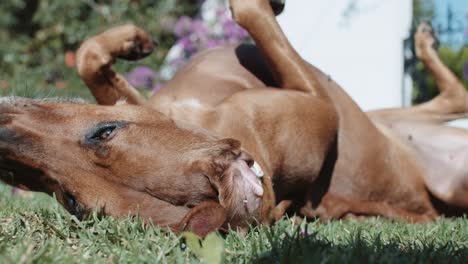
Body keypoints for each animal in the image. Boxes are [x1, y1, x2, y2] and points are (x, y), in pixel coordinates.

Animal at [0, 0, 466, 235]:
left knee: (454, 97)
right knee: (454, 97)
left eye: (105, 132)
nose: (1, 143)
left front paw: (132, 41)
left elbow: (89, 56)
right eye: (71, 201)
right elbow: (248, 10)